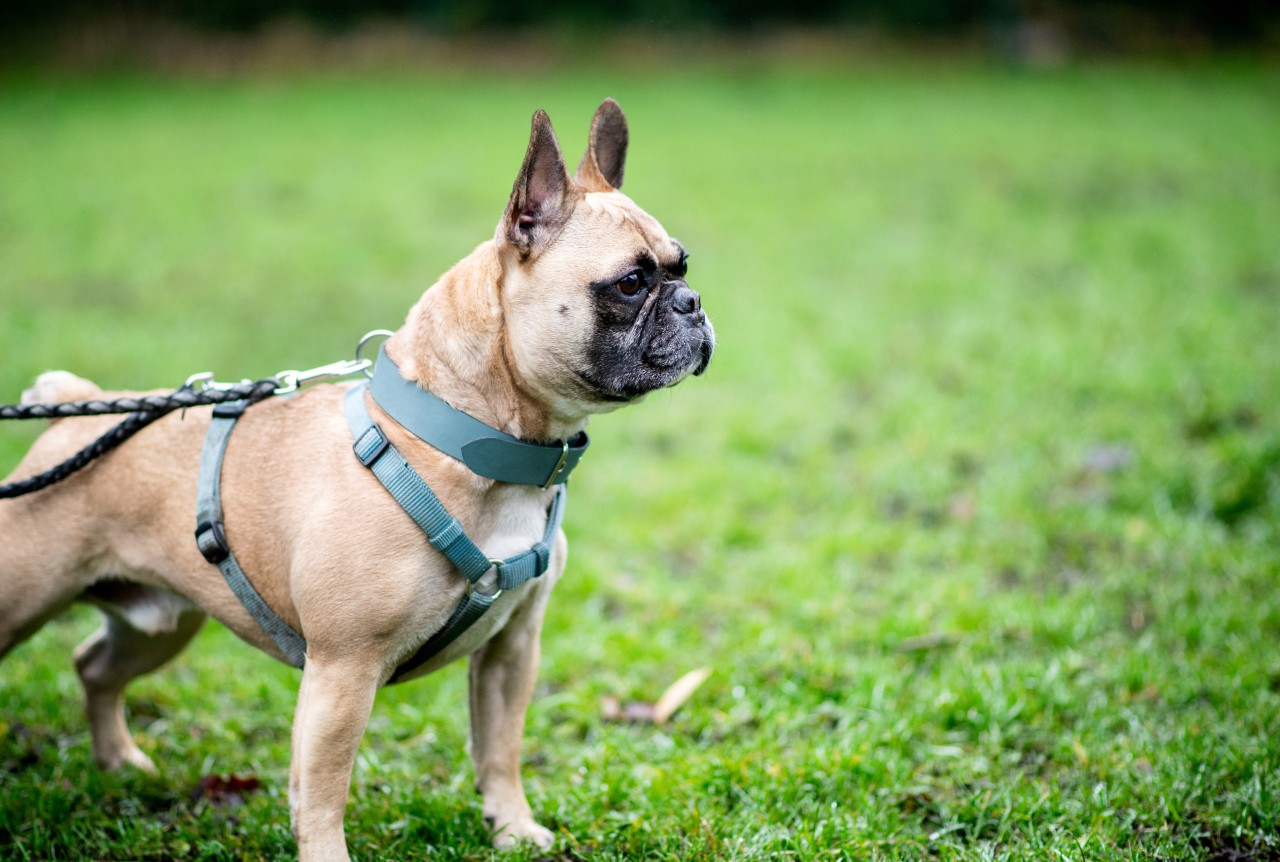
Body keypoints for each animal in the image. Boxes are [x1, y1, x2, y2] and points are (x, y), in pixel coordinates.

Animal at [0, 99, 711, 855]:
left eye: (682, 266)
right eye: (630, 283)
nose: (693, 302)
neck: (469, 441)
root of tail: (76, 407)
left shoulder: (511, 650)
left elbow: (500, 747)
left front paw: (514, 829)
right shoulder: (344, 670)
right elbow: (322, 788)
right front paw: (327, 854)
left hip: (161, 623)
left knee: (95, 666)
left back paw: (117, 762)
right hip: (23, 596)